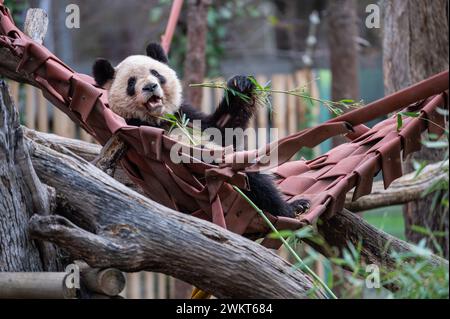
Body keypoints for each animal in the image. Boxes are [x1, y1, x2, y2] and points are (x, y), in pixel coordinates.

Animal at [91, 42, 310, 219]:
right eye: (131, 82)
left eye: (156, 74)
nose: (150, 87)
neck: (159, 117)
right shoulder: (136, 125)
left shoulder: (185, 114)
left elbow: (221, 129)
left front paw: (241, 84)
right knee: (254, 181)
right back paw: (289, 210)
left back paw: (297, 206)